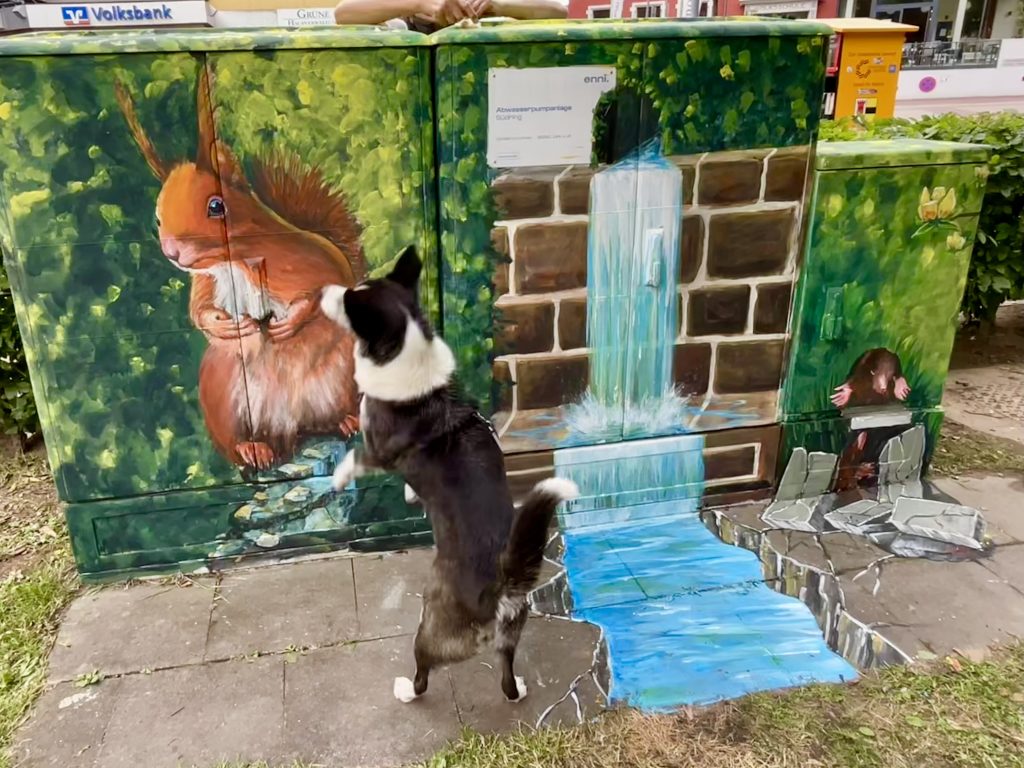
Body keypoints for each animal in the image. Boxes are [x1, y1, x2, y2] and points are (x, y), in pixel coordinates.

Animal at [115, 67, 364, 471]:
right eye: (157, 217)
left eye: (217, 206)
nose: (172, 251)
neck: (236, 260)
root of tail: (291, 429)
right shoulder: (206, 282)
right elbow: (198, 312)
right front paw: (228, 327)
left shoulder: (318, 262)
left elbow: (329, 291)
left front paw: (290, 322)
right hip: (224, 400)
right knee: (235, 443)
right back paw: (254, 448)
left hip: (346, 377)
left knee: (329, 418)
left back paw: (347, 420)